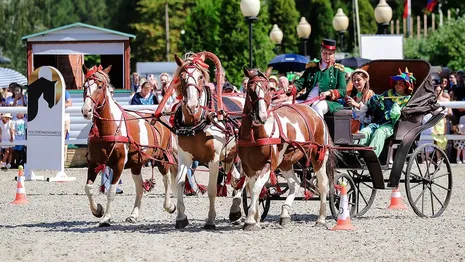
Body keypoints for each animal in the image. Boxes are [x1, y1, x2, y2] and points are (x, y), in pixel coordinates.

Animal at [80, 64, 177, 226]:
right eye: (84, 86)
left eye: (100, 86)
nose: (86, 110)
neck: (108, 128)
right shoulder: (94, 162)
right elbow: (88, 188)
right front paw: (97, 210)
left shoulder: (118, 164)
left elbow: (111, 191)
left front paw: (106, 217)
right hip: (136, 164)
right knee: (140, 187)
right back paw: (134, 214)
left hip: (162, 157)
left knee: (167, 180)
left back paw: (169, 206)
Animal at [169, 52, 245, 228]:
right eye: (182, 77)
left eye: (200, 77)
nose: (192, 105)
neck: (196, 123)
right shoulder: (184, 157)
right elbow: (180, 182)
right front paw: (181, 217)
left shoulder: (214, 159)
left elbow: (212, 189)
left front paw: (210, 219)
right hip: (229, 157)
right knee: (236, 178)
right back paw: (235, 211)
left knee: (243, 179)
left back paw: (237, 209)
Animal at [237, 68, 336, 230]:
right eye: (250, 89)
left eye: (269, 89)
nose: (261, 116)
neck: (255, 133)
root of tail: (315, 114)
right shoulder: (248, 166)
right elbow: (252, 189)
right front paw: (256, 218)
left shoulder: (270, 163)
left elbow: (257, 187)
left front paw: (251, 220)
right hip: (286, 163)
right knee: (294, 183)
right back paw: (284, 214)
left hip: (318, 157)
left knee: (323, 185)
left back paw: (321, 219)